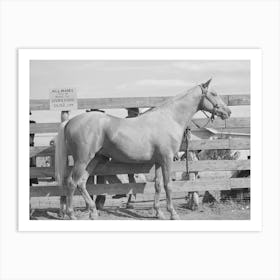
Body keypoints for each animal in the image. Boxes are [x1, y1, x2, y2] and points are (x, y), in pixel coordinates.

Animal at [54, 77, 230, 220]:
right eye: (214, 93)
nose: (227, 112)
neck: (169, 118)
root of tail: (70, 121)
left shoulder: (159, 162)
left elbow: (158, 185)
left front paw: (159, 213)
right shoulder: (167, 160)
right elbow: (168, 186)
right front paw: (173, 213)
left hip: (94, 159)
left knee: (81, 183)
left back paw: (93, 212)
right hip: (83, 159)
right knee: (72, 183)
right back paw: (71, 214)